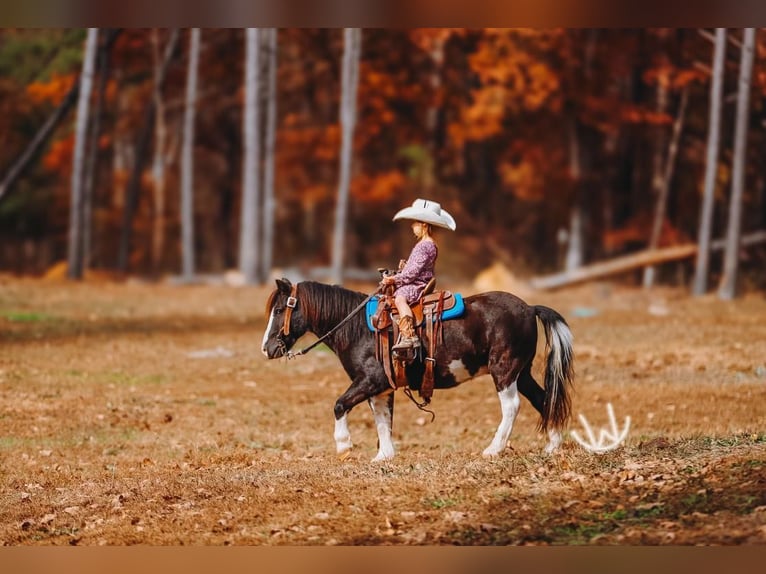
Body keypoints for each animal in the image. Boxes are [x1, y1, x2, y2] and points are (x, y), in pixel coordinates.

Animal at [261, 278, 574, 462]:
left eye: (279, 310)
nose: (267, 349)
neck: (359, 328)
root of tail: (529, 307)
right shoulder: (381, 387)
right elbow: (383, 419)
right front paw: (384, 456)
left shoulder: (370, 380)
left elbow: (340, 405)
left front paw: (344, 446)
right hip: (522, 373)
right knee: (543, 399)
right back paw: (552, 445)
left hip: (505, 371)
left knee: (512, 406)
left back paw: (493, 449)